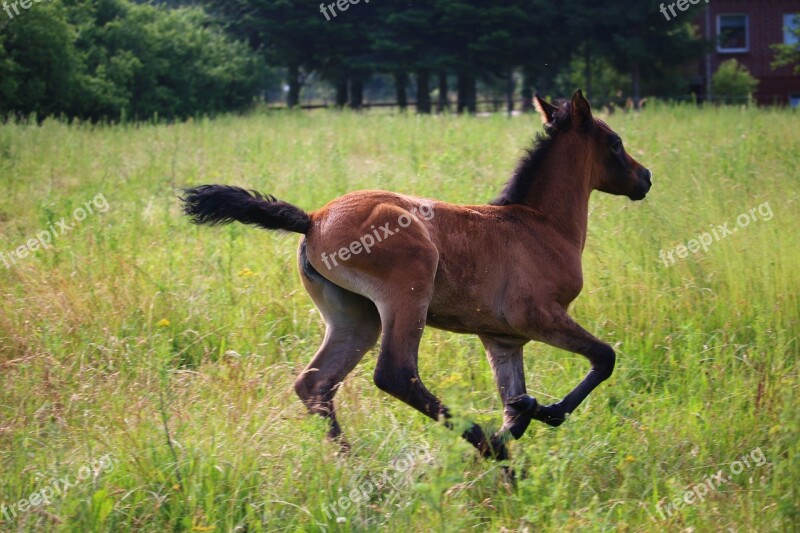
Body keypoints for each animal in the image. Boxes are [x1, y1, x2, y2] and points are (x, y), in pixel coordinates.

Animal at [184, 89, 652, 460]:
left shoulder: (502, 339)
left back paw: (356, 466)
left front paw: (522, 423)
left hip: (355, 318)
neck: (540, 224)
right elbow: (604, 357)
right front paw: (546, 414)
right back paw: (479, 443)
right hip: (408, 292)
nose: (645, 178)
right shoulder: (536, 315)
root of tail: (313, 218)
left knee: (315, 385)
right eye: (615, 143)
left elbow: (513, 404)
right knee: (394, 373)